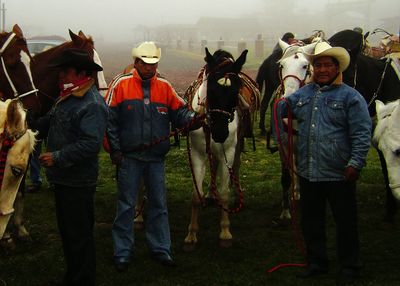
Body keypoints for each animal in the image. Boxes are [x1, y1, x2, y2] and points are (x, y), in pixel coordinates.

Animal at [184, 48, 260, 249]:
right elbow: (195, 194)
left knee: (235, 166)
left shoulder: (230, 150)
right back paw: (211, 193)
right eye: (211, 90)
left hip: (237, 146)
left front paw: (225, 233)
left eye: (235, 91)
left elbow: (225, 192)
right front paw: (191, 234)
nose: (220, 133)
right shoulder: (197, 153)